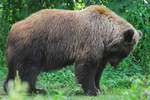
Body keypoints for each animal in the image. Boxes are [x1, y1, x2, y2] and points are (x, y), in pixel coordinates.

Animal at [3, 5, 142, 95]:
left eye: (125, 54)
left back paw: (10, 88)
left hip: (18, 52)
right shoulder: (90, 41)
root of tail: (13, 28)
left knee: (14, 70)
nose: (115, 64)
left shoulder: (102, 53)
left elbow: (98, 71)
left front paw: (100, 88)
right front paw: (93, 90)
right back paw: (35, 90)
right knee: (29, 70)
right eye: (122, 52)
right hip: (33, 47)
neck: (104, 34)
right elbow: (86, 67)